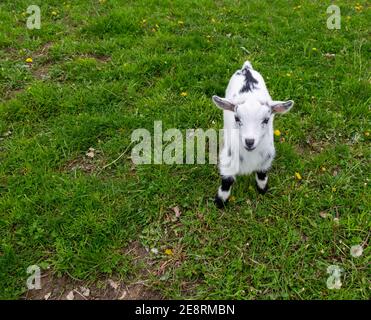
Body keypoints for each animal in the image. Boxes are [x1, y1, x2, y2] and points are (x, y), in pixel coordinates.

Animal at [214, 60, 294, 208]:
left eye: (266, 120)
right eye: (237, 118)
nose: (249, 141)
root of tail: (246, 69)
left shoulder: (267, 156)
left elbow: (262, 175)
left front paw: (262, 190)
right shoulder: (228, 158)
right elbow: (227, 181)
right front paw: (220, 202)